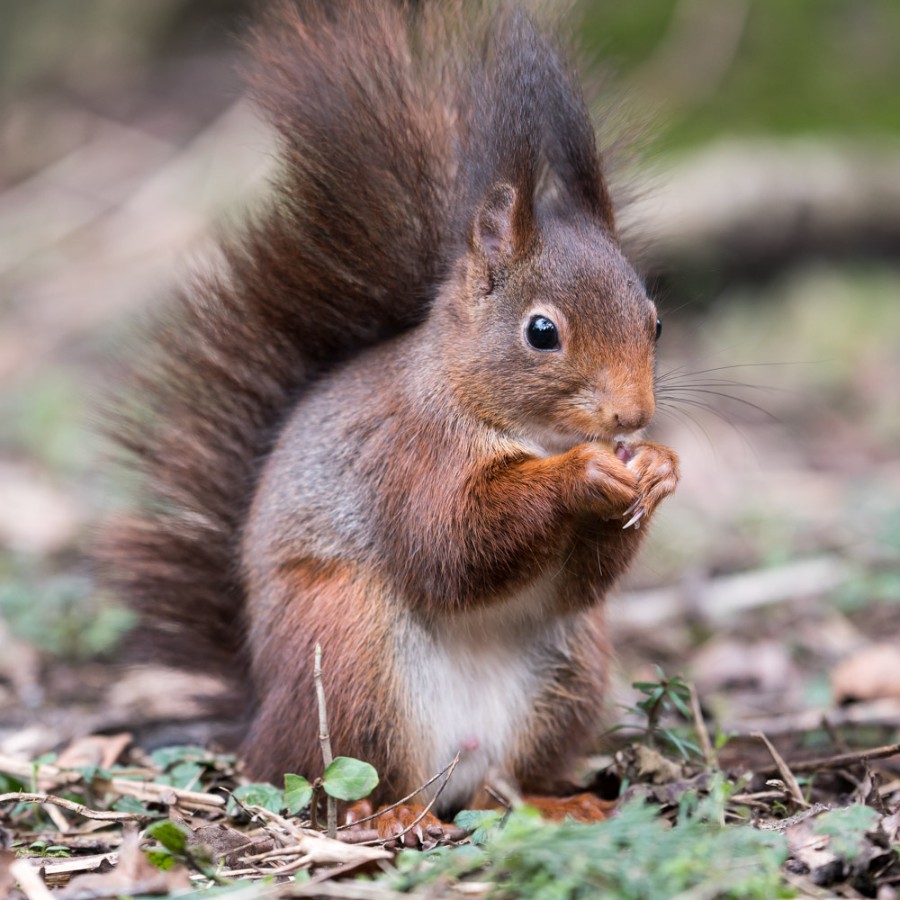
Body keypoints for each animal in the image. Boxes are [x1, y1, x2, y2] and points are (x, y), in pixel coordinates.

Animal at [99, 0, 679, 832]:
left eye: (655, 322)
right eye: (542, 331)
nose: (634, 416)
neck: (516, 425)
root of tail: (260, 720)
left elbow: (580, 583)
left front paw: (657, 470)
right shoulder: (408, 451)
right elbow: (451, 543)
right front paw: (583, 472)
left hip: (570, 670)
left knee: (503, 786)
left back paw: (555, 804)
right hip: (347, 647)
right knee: (347, 778)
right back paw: (389, 818)